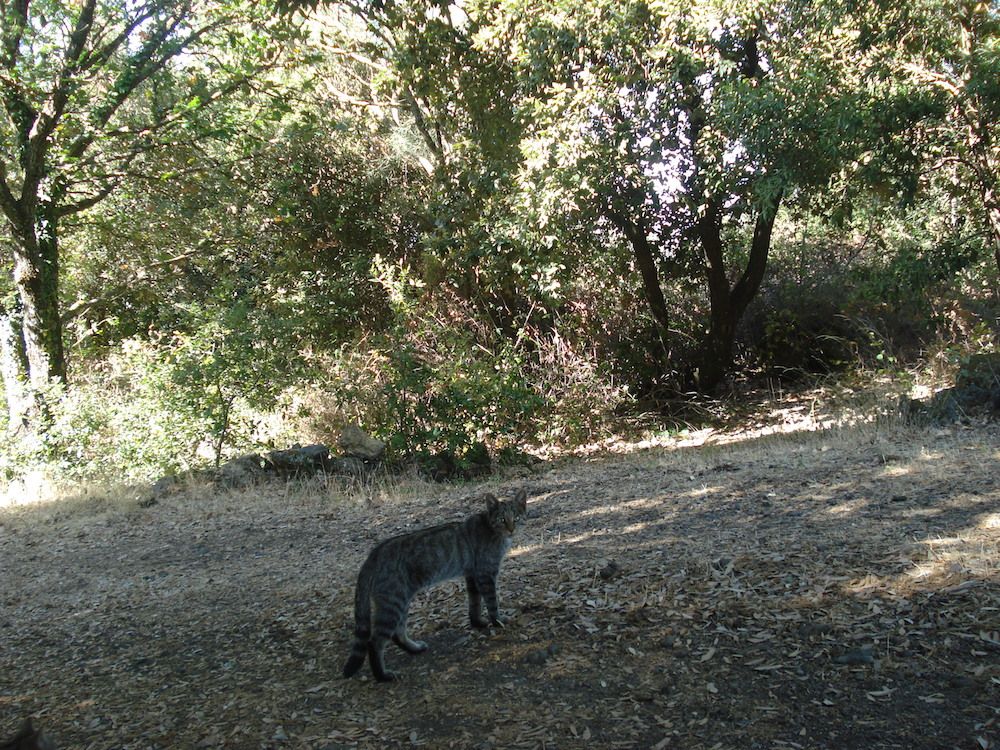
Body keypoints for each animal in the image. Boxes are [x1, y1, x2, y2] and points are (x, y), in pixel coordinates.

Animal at [344, 490, 528, 684]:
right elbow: (492, 602)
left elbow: (475, 603)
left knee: (398, 633)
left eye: (516, 517)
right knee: (375, 642)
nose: (511, 529)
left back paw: (414, 648)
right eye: (502, 519)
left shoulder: (471, 575)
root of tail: (374, 553)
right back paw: (382, 675)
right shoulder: (485, 574)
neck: (491, 529)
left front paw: (478, 622)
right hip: (393, 603)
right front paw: (498, 621)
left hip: (401, 601)